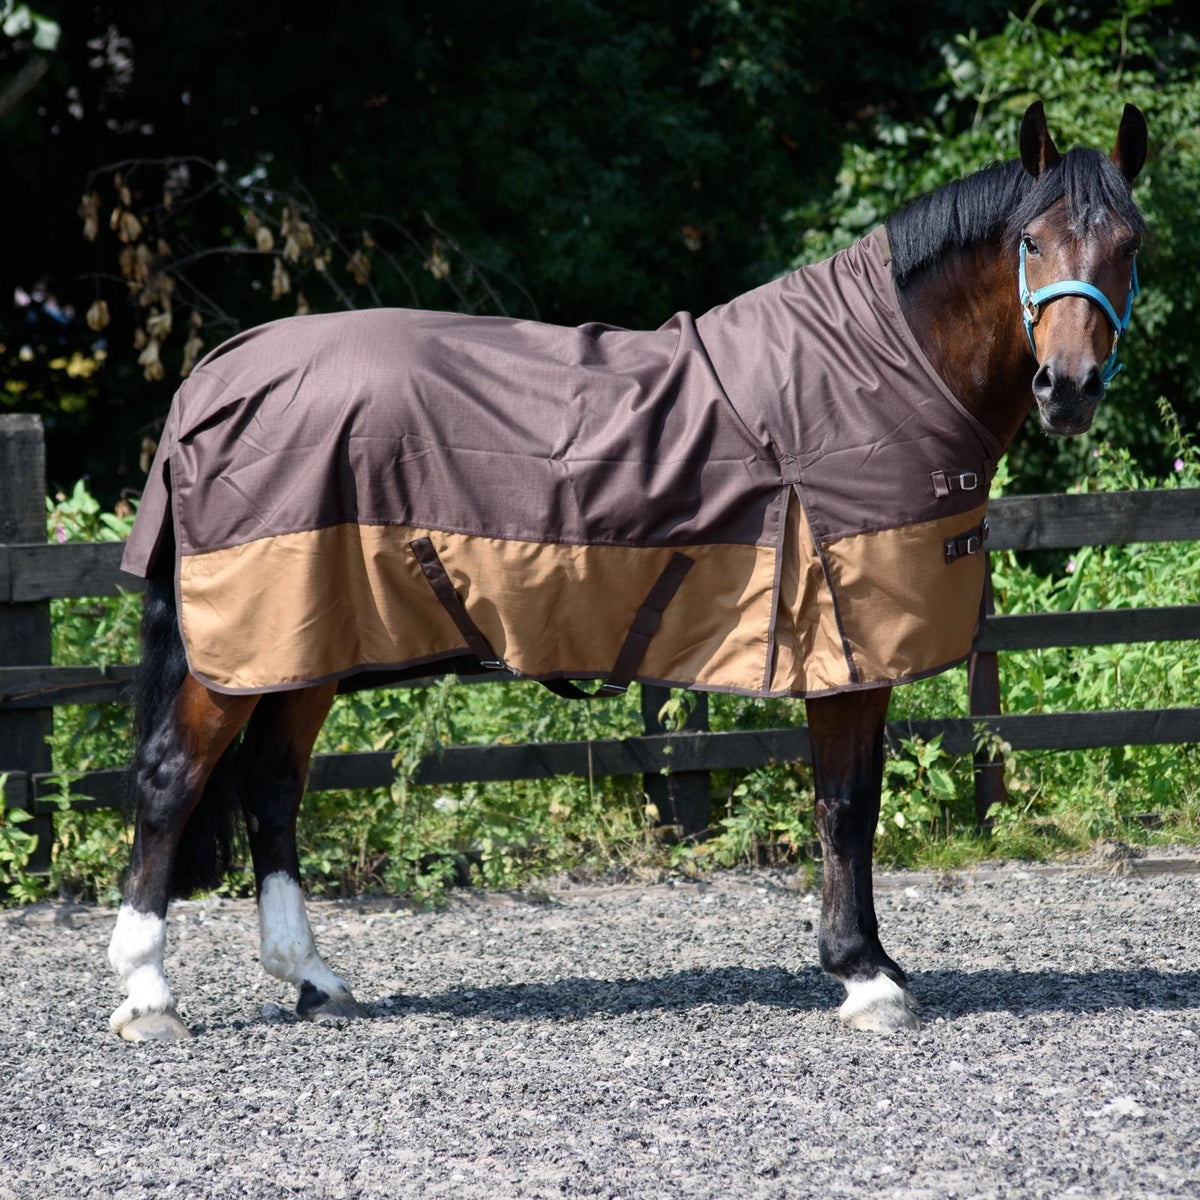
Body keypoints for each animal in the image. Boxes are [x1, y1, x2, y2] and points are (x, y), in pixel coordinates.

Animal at [107, 101, 1147, 1040]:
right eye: (1031, 241)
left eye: (1129, 244)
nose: (1067, 389)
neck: (873, 373)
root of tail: (215, 378)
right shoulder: (847, 653)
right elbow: (847, 805)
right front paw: (864, 976)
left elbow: (845, 803)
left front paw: (871, 965)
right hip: (239, 651)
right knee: (171, 777)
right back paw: (149, 996)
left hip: (300, 649)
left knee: (273, 788)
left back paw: (315, 979)